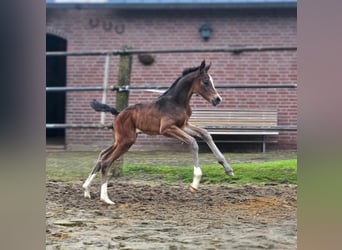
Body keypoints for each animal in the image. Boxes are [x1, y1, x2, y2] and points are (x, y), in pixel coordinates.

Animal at [82, 60, 235, 205]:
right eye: (205, 82)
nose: (217, 99)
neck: (177, 102)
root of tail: (118, 113)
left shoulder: (183, 125)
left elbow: (205, 133)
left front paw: (228, 169)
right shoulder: (167, 129)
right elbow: (193, 142)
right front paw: (195, 183)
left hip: (121, 139)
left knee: (102, 155)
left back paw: (86, 190)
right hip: (126, 141)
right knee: (106, 162)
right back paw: (105, 198)